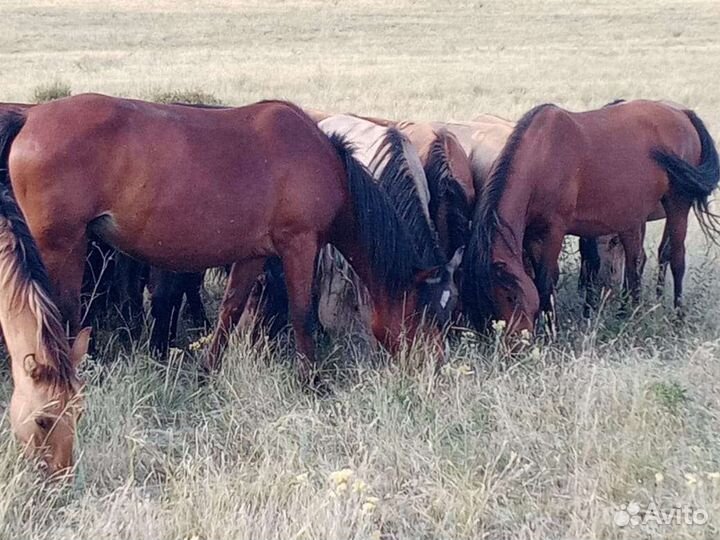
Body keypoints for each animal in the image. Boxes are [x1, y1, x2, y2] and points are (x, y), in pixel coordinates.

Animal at [463, 100, 719, 333]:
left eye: (510, 296)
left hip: (677, 204)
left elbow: (546, 280)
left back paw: (677, 318)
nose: (515, 342)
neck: (543, 157)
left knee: (675, 258)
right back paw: (630, 313)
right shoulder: (533, 234)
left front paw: (551, 331)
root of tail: (683, 113)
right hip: (632, 217)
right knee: (636, 262)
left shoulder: (554, 231)